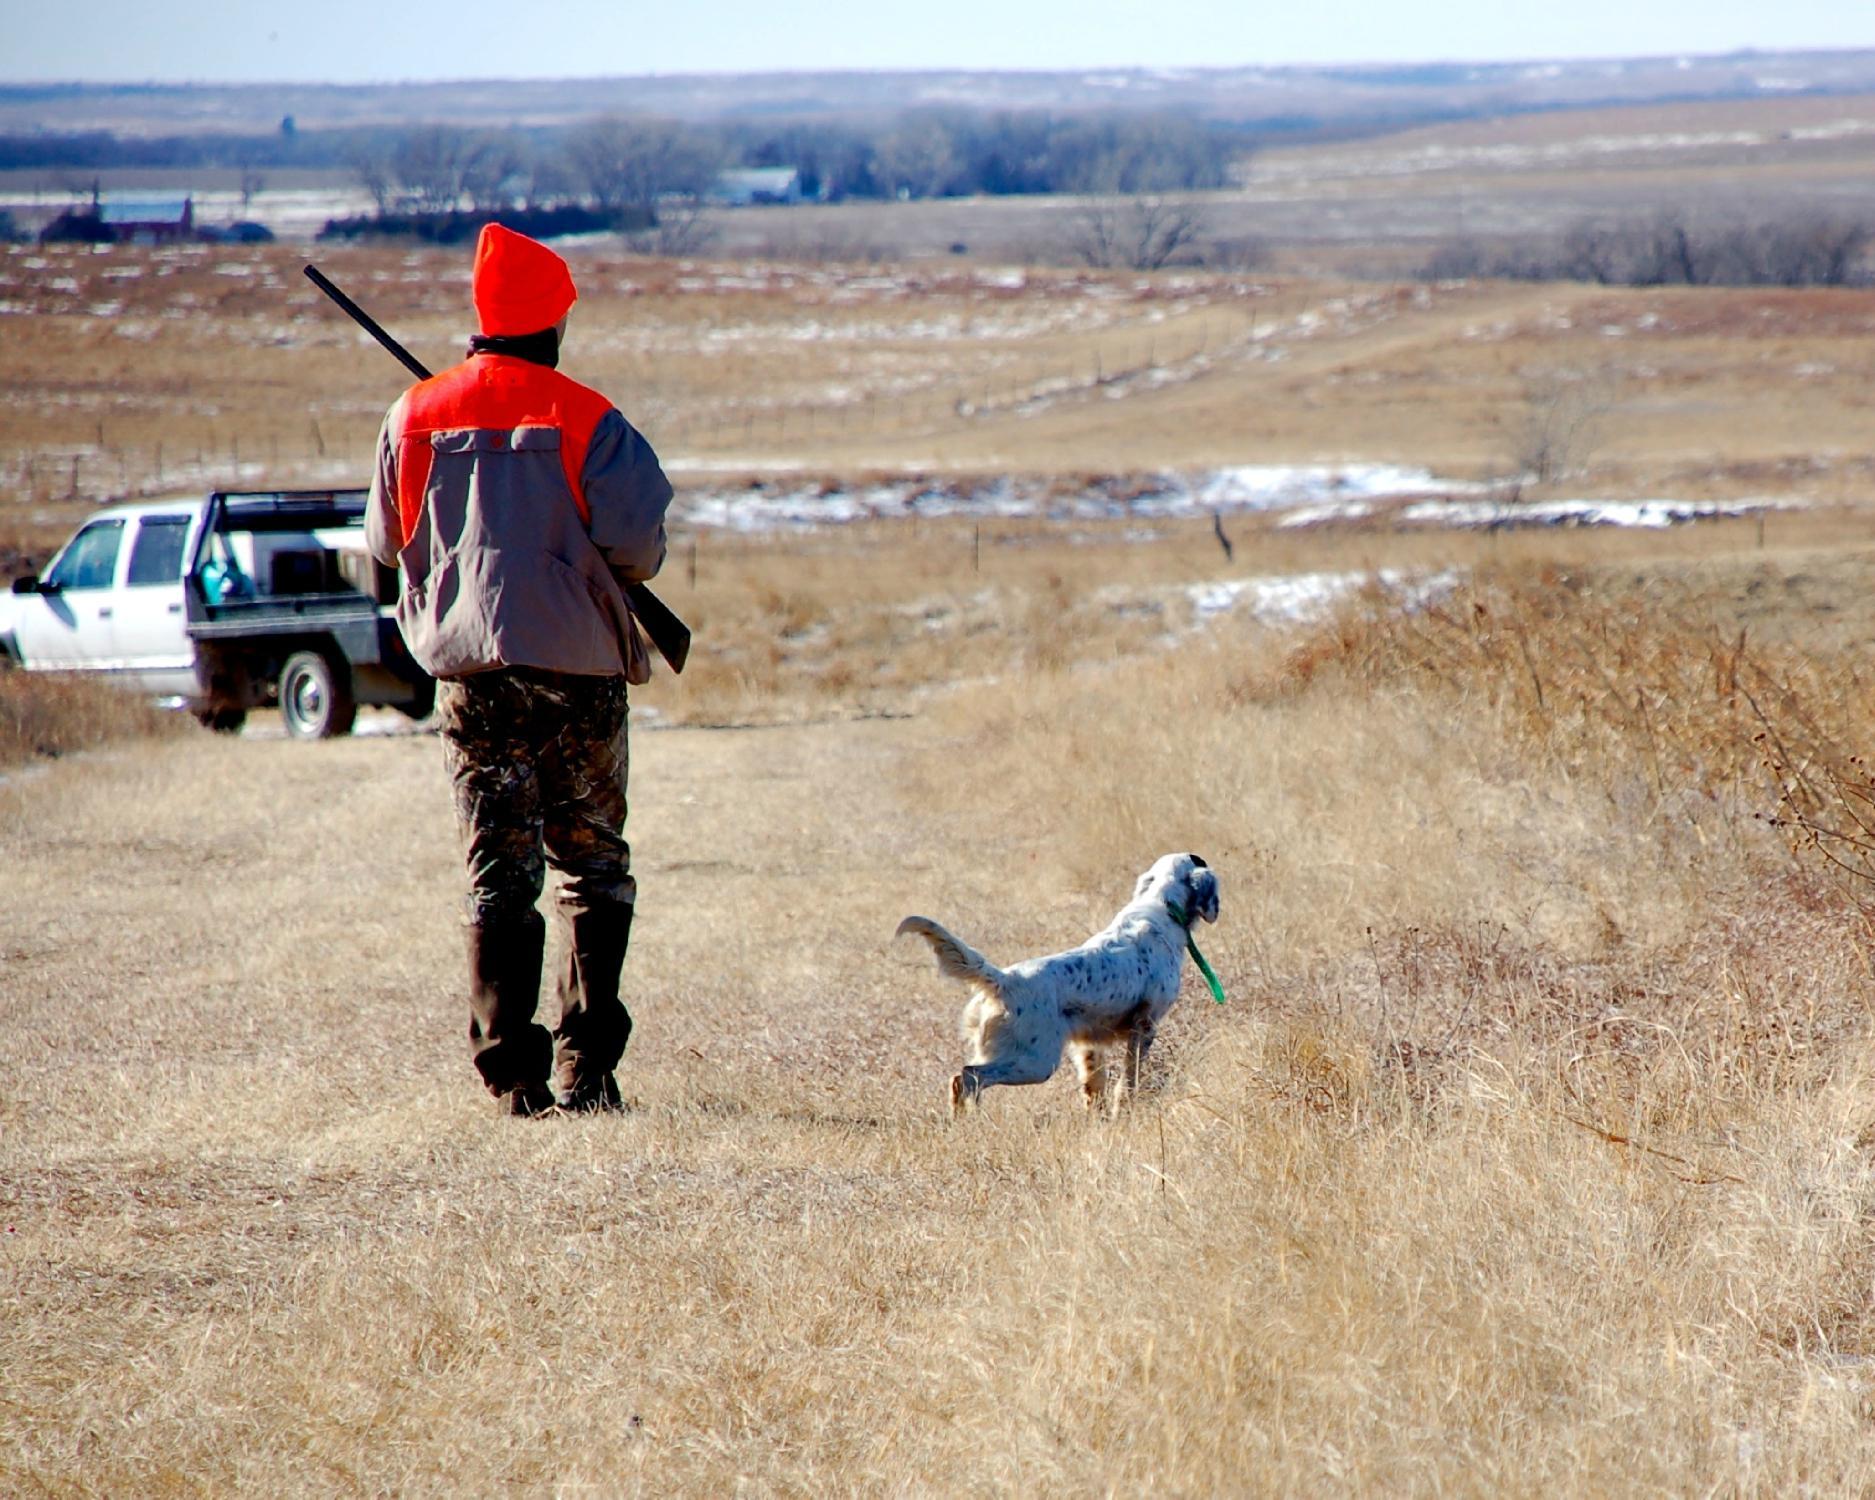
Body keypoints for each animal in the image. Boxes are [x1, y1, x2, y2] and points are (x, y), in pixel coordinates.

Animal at [900, 855, 1222, 1110]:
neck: (1162, 905)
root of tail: (1003, 979)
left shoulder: (1088, 1042)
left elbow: (1095, 1086)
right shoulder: (1145, 1025)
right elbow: (1129, 1081)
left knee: (961, 1078)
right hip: (1037, 1061)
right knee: (967, 1076)